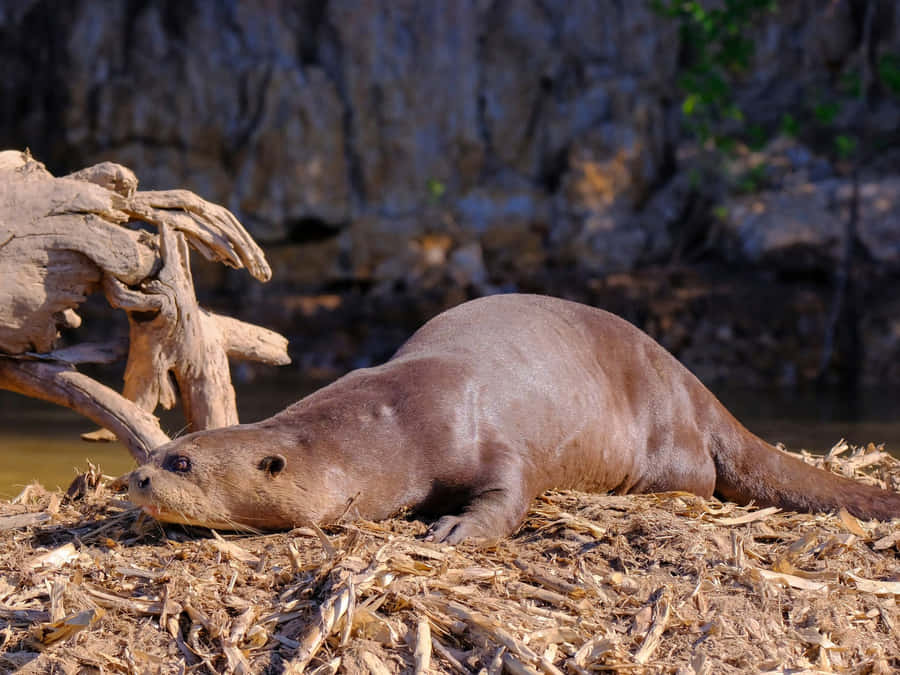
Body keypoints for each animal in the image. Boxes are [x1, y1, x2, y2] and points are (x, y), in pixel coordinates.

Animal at [128, 294, 900, 543]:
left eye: (181, 462)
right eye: (162, 450)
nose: (136, 480)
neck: (386, 425)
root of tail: (693, 384)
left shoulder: (480, 430)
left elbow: (511, 491)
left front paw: (453, 529)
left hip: (665, 437)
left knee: (704, 477)